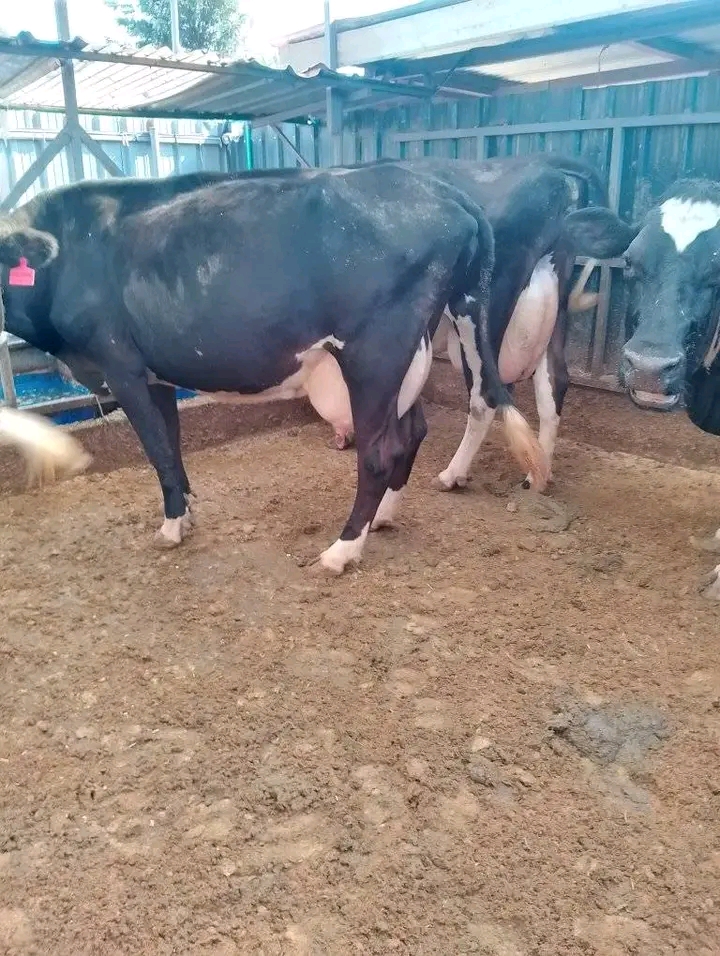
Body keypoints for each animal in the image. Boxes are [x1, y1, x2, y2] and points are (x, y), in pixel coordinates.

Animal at [0, 163, 547, 574]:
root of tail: (444, 192)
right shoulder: (155, 372)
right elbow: (172, 446)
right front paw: (188, 514)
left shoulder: (120, 364)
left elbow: (156, 451)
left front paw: (171, 528)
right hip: (415, 350)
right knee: (414, 428)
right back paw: (384, 518)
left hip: (376, 350)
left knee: (380, 449)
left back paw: (342, 550)